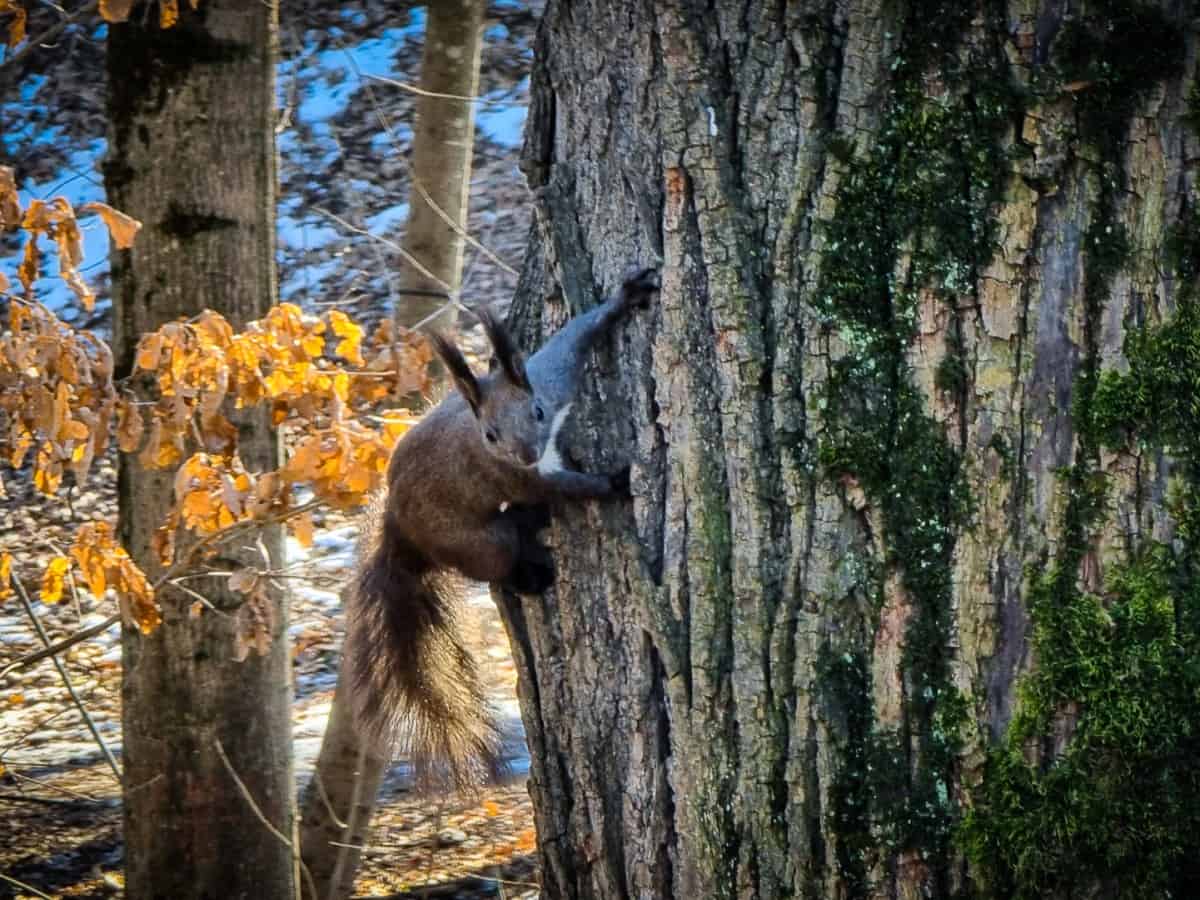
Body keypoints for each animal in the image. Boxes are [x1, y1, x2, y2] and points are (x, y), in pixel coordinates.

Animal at [348, 264, 662, 787]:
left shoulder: (550, 380)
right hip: (475, 540)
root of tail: (401, 533)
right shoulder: (520, 476)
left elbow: (571, 340)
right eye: (491, 436)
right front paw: (616, 482)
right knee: (499, 566)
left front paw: (626, 297)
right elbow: (571, 490)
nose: (527, 453)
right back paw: (531, 571)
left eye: (536, 412)